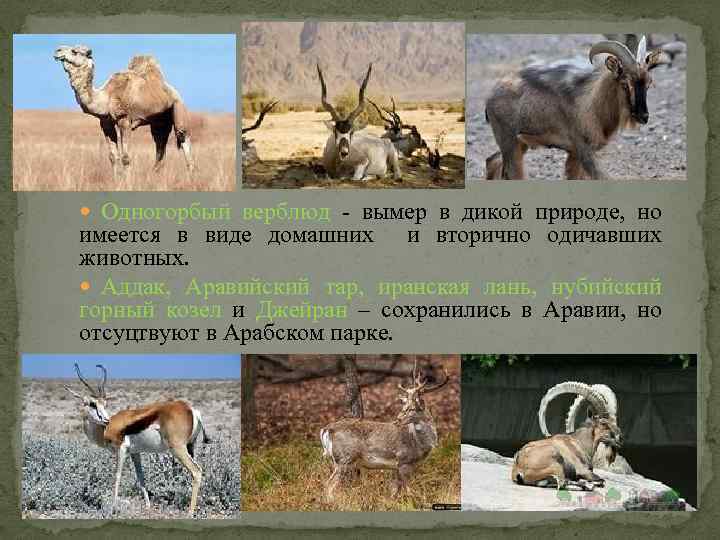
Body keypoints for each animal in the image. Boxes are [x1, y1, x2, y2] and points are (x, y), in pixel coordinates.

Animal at [53, 45, 195, 181]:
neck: (107, 97)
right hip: (160, 121)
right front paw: (116, 181)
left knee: (183, 138)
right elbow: (112, 156)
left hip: (178, 107)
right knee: (160, 144)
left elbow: (125, 157)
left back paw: (190, 177)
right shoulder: (105, 122)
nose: (57, 50)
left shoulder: (124, 120)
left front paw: (126, 182)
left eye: (74, 51)